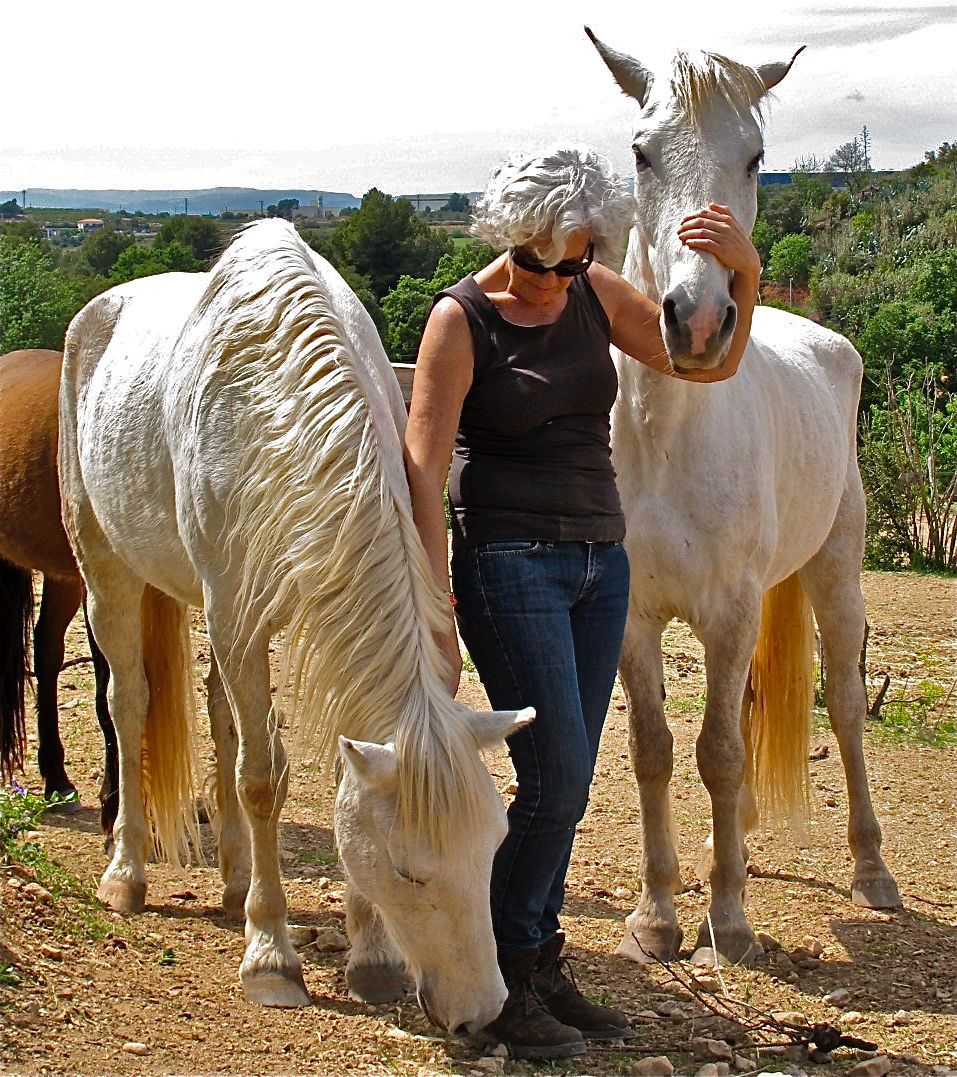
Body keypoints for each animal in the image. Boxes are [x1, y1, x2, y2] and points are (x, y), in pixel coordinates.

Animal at [58, 219, 534, 1033]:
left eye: (496, 846)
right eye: (409, 870)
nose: (481, 1014)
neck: (277, 408)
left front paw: (370, 955)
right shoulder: (235, 617)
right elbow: (260, 779)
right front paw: (271, 956)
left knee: (219, 717)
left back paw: (233, 884)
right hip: (108, 573)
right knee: (129, 705)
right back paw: (127, 876)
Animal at [585, 30, 901, 965]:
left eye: (755, 157)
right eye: (641, 153)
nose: (695, 320)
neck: (666, 438)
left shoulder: (726, 611)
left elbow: (719, 751)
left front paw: (726, 920)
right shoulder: (633, 616)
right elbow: (657, 750)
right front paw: (657, 914)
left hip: (835, 577)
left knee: (843, 707)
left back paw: (870, 871)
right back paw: (740, 843)